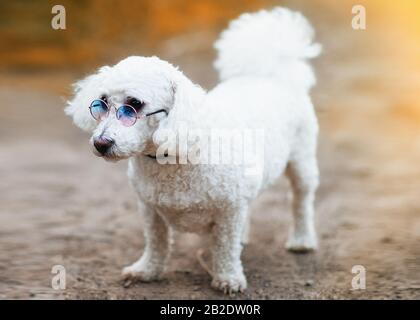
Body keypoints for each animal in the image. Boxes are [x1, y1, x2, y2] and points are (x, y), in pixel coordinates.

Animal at [65, 6, 322, 296]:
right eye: (101, 103)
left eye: (134, 104)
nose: (101, 143)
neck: (174, 154)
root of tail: (270, 75)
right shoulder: (150, 209)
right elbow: (156, 242)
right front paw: (147, 270)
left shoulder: (229, 209)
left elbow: (225, 248)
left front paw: (228, 278)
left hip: (302, 161)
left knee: (301, 200)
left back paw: (302, 240)